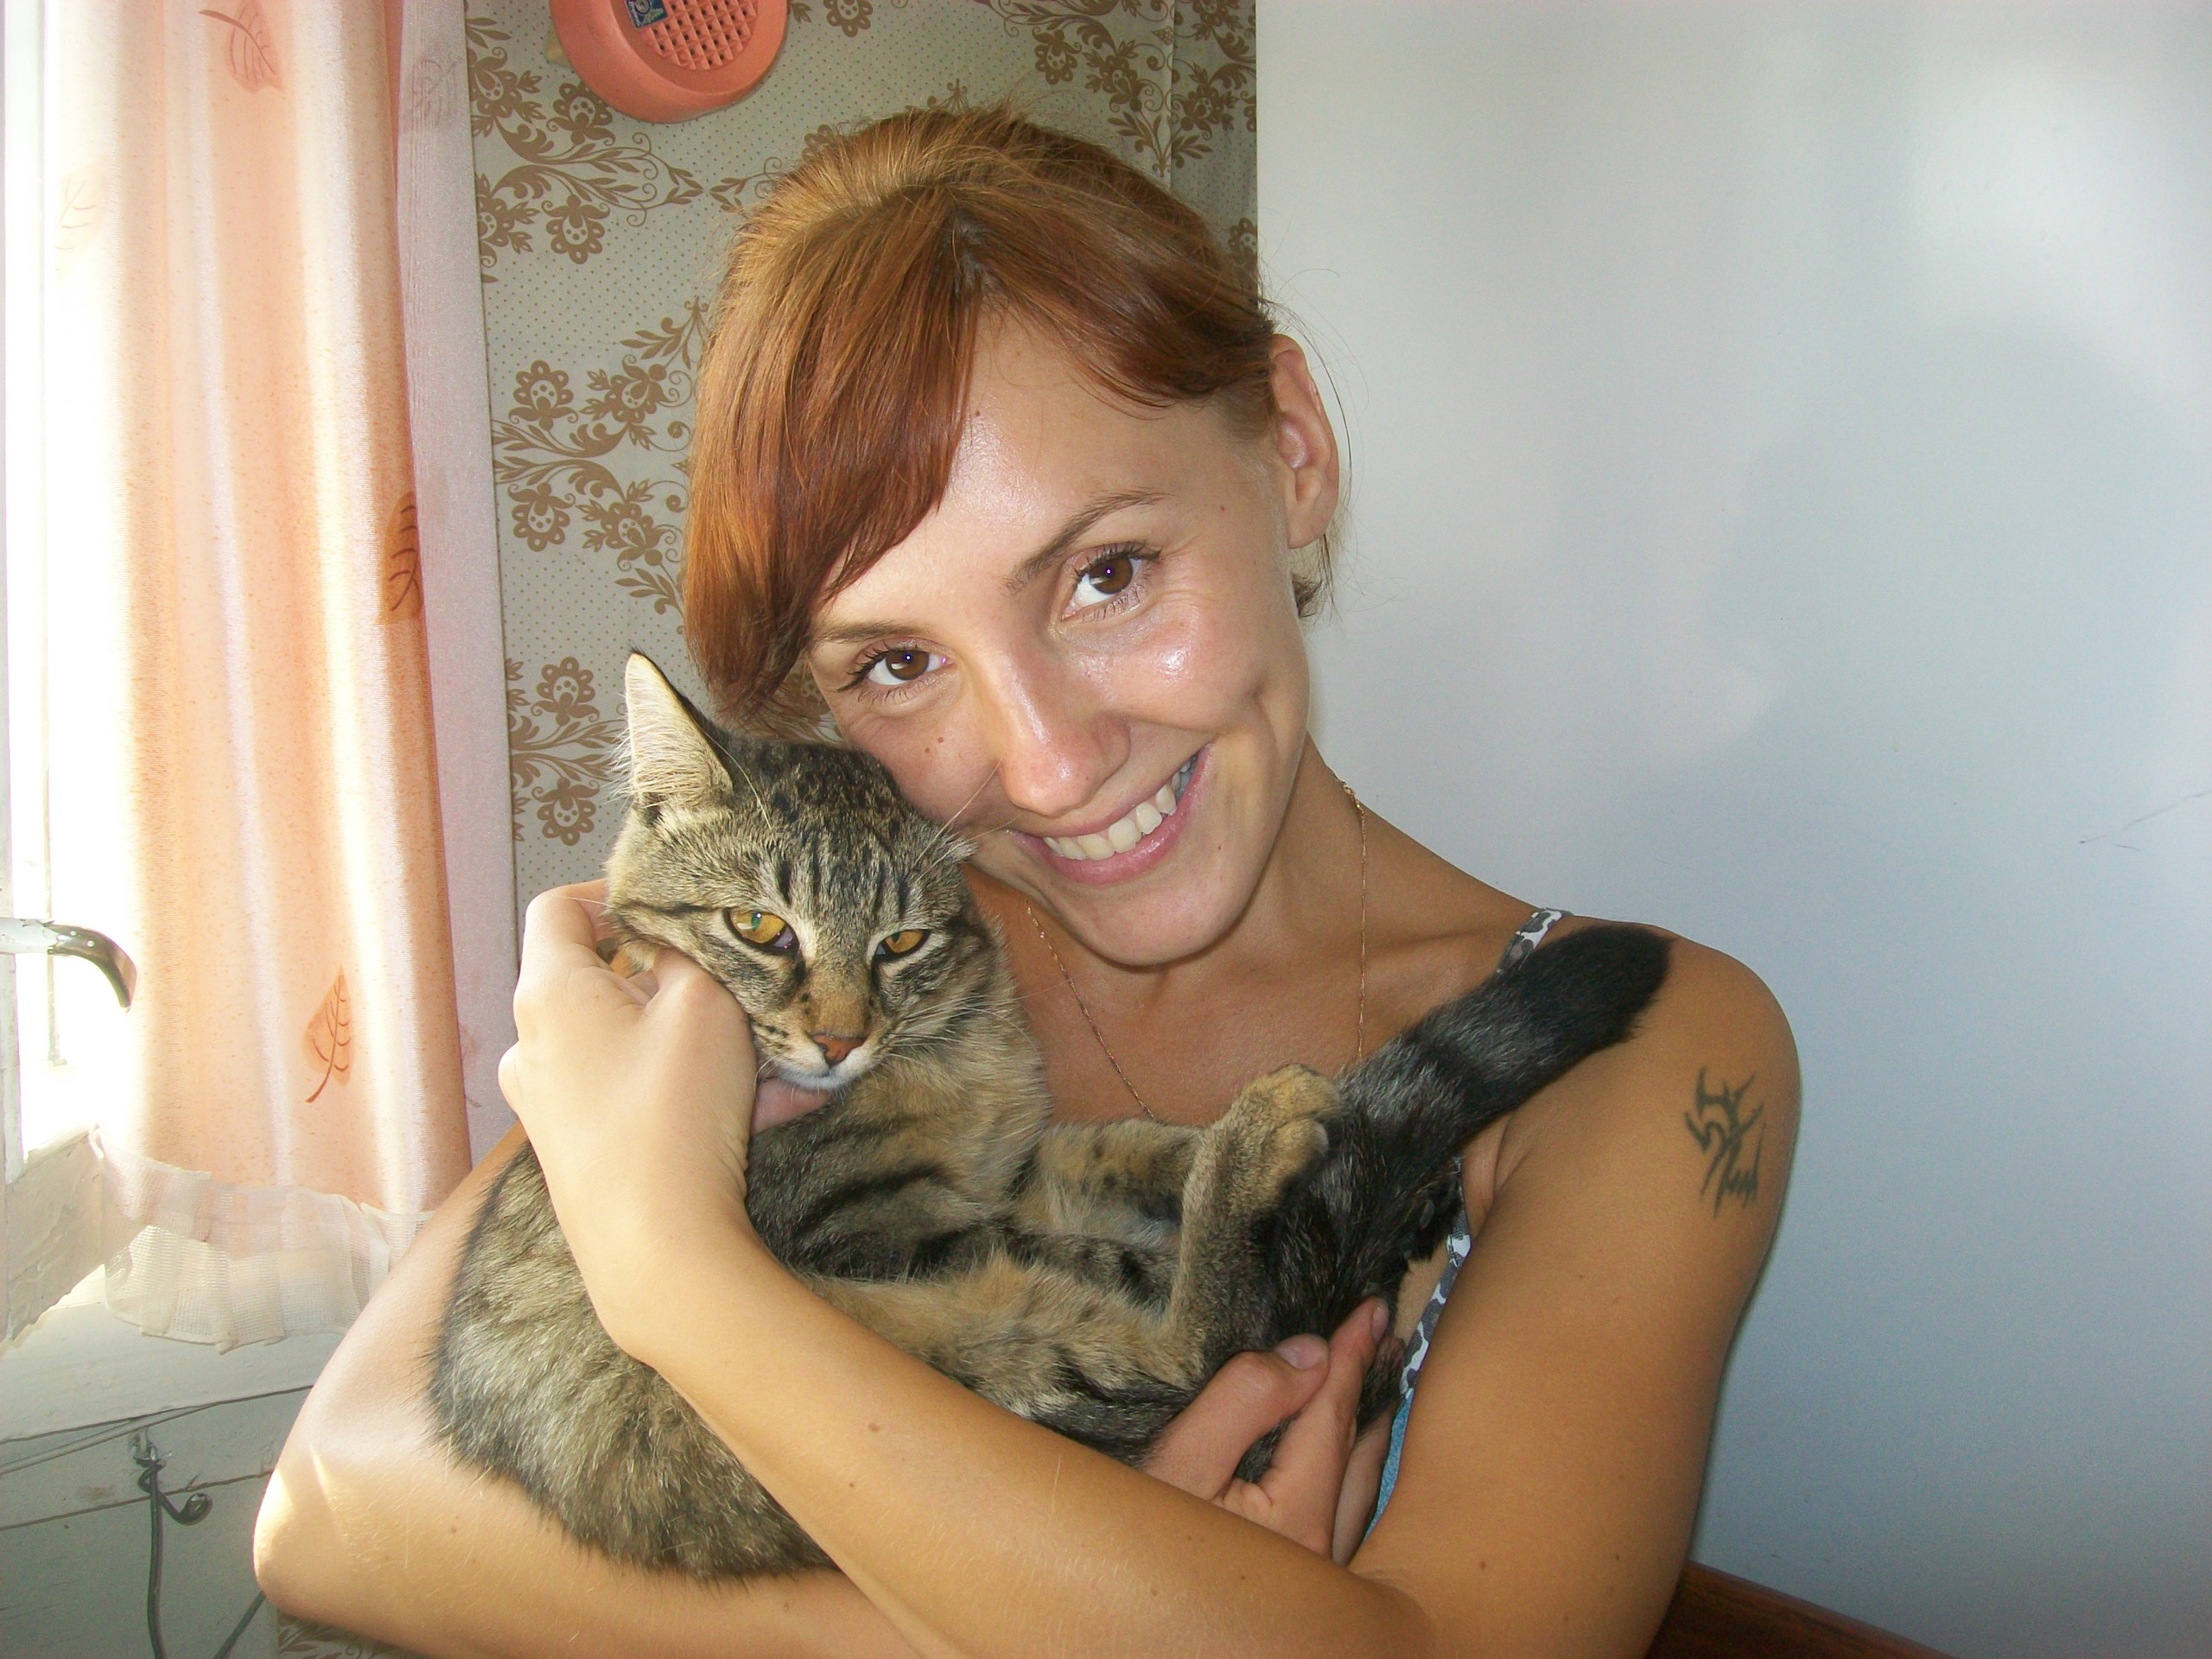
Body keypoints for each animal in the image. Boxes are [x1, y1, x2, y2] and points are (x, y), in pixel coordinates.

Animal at [429, 653, 1670, 1578]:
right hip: (1003, 1355)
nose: (835, 1038)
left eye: (901, 942)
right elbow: (1108, 1250)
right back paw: (1263, 1143)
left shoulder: (1024, 1160)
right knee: (1206, 1341)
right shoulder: (875, 1236)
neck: (946, 1055)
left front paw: (1230, 1143)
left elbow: (1130, 1145)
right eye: (760, 927)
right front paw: (1258, 1155)